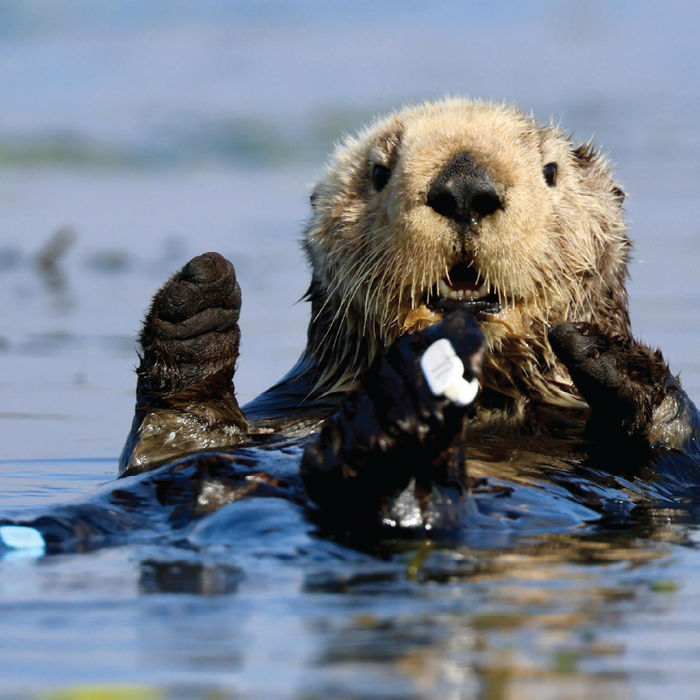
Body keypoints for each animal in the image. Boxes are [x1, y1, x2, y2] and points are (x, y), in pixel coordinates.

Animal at [3, 98, 700, 553]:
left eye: (551, 172)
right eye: (379, 171)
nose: (465, 187)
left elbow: (677, 457)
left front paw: (609, 353)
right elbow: (174, 444)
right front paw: (197, 302)